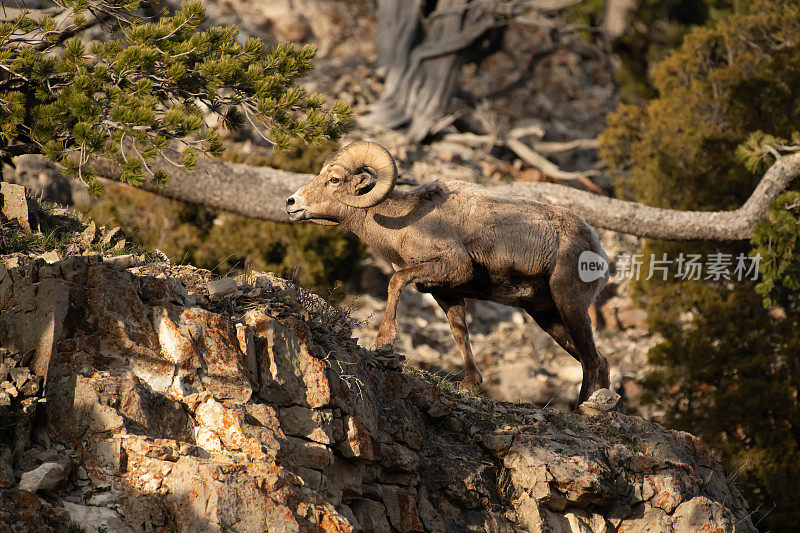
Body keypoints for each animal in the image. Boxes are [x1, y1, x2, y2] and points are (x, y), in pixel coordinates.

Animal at [288, 141, 612, 404]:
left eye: (334, 179)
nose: (291, 203)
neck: (405, 223)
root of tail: (598, 250)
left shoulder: (452, 267)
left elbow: (395, 282)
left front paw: (384, 342)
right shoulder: (446, 293)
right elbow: (460, 334)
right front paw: (470, 384)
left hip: (570, 305)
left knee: (591, 360)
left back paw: (582, 409)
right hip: (546, 316)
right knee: (599, 361)